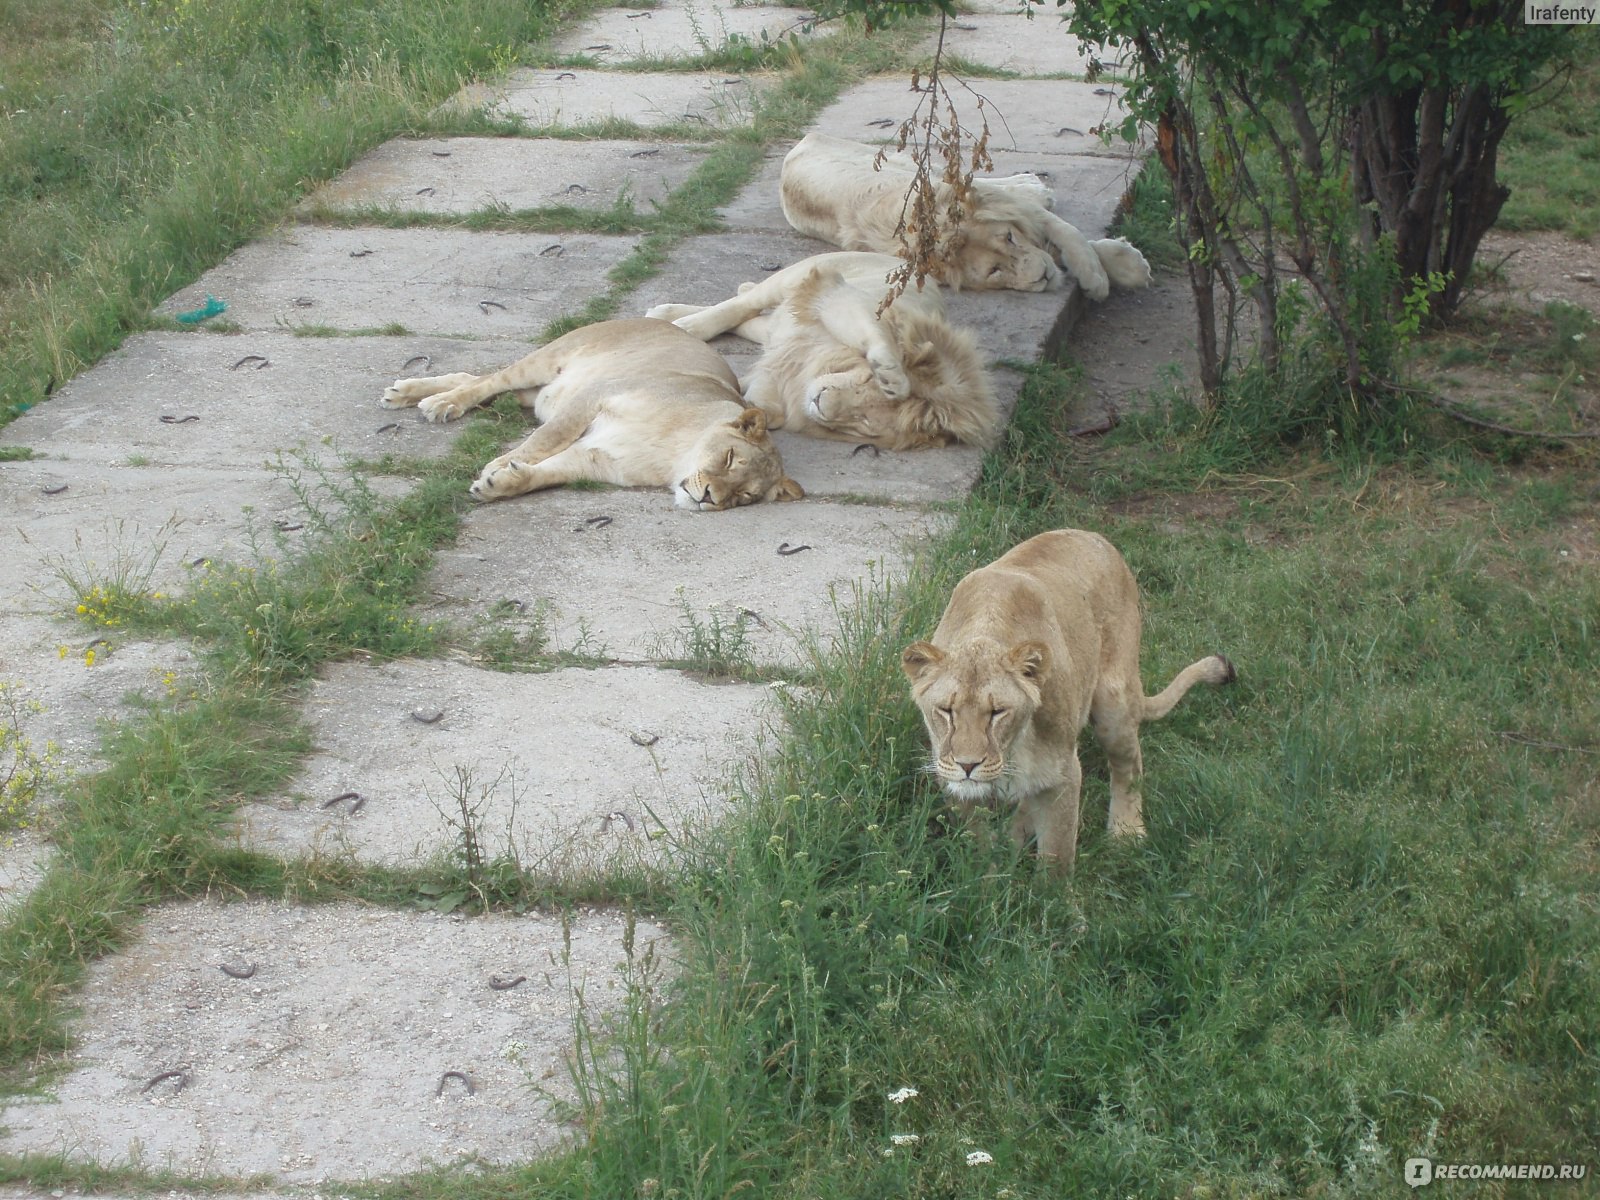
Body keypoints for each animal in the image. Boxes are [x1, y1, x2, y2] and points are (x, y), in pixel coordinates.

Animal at [382, 316, 806, 508]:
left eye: (745, 495)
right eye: (730, 457)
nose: (708, 499)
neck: (676, 454)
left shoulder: (596, 460)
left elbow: (543, 475)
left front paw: (499, 484)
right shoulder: (596, 395)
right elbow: (544, 439)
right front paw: (498, 464)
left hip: (533, 393)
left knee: (477, 379)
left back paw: (412, 393)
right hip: (547, 361)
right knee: (487, 382)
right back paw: (433, 402)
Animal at [643, 249, 992, 451]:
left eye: (865, 422)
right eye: (866, 380)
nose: (821, 402)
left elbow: (763, 406)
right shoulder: (836, 293)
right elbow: (874, 334)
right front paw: (893, 374)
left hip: (774, 321)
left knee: (750, 315)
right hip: (805, 274)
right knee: (742, 303)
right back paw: (677, 320)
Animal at [777, 129, 1145, 300]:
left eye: (1009, 237)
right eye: (994, 271)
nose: (1041, 276)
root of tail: (804, 139)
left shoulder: (1014, 209)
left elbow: (1070, 234)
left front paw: (1108, 273)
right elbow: (1056, 244)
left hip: (909, 164)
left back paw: (1032, 184)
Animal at [902, 531, 1235, 876]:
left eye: (997, 712)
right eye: (946, 711)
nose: (968, 765)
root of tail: (1096, 537)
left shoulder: (1063, 776)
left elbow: (1056, 859)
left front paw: (1047, 889)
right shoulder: (954, 783)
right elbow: (979, 853)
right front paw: (991, 880)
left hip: (1114, 702)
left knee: (1129, 765)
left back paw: (1126, 832)